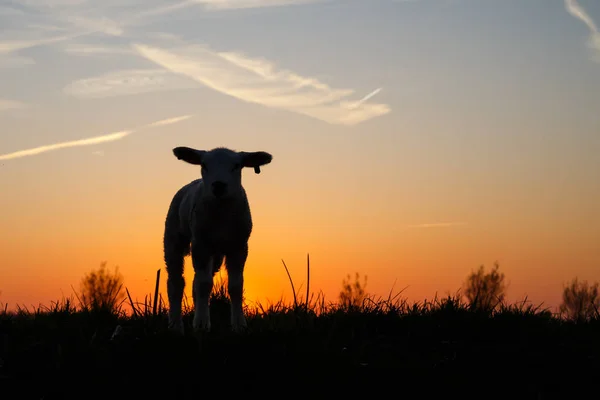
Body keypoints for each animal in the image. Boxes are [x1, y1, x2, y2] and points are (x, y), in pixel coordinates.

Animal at [163, 145, 274, 332]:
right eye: (204, 165)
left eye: (236, 166)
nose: (219, 185)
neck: (221, 213)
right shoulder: (200, 245)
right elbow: (204, 285)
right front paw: (201, 324)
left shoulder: (240, 247)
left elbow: (235, 285)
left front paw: (239, 324)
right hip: (173, 238)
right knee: (176, 282)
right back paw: (176, 325)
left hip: (215, 255)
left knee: (195, 282)